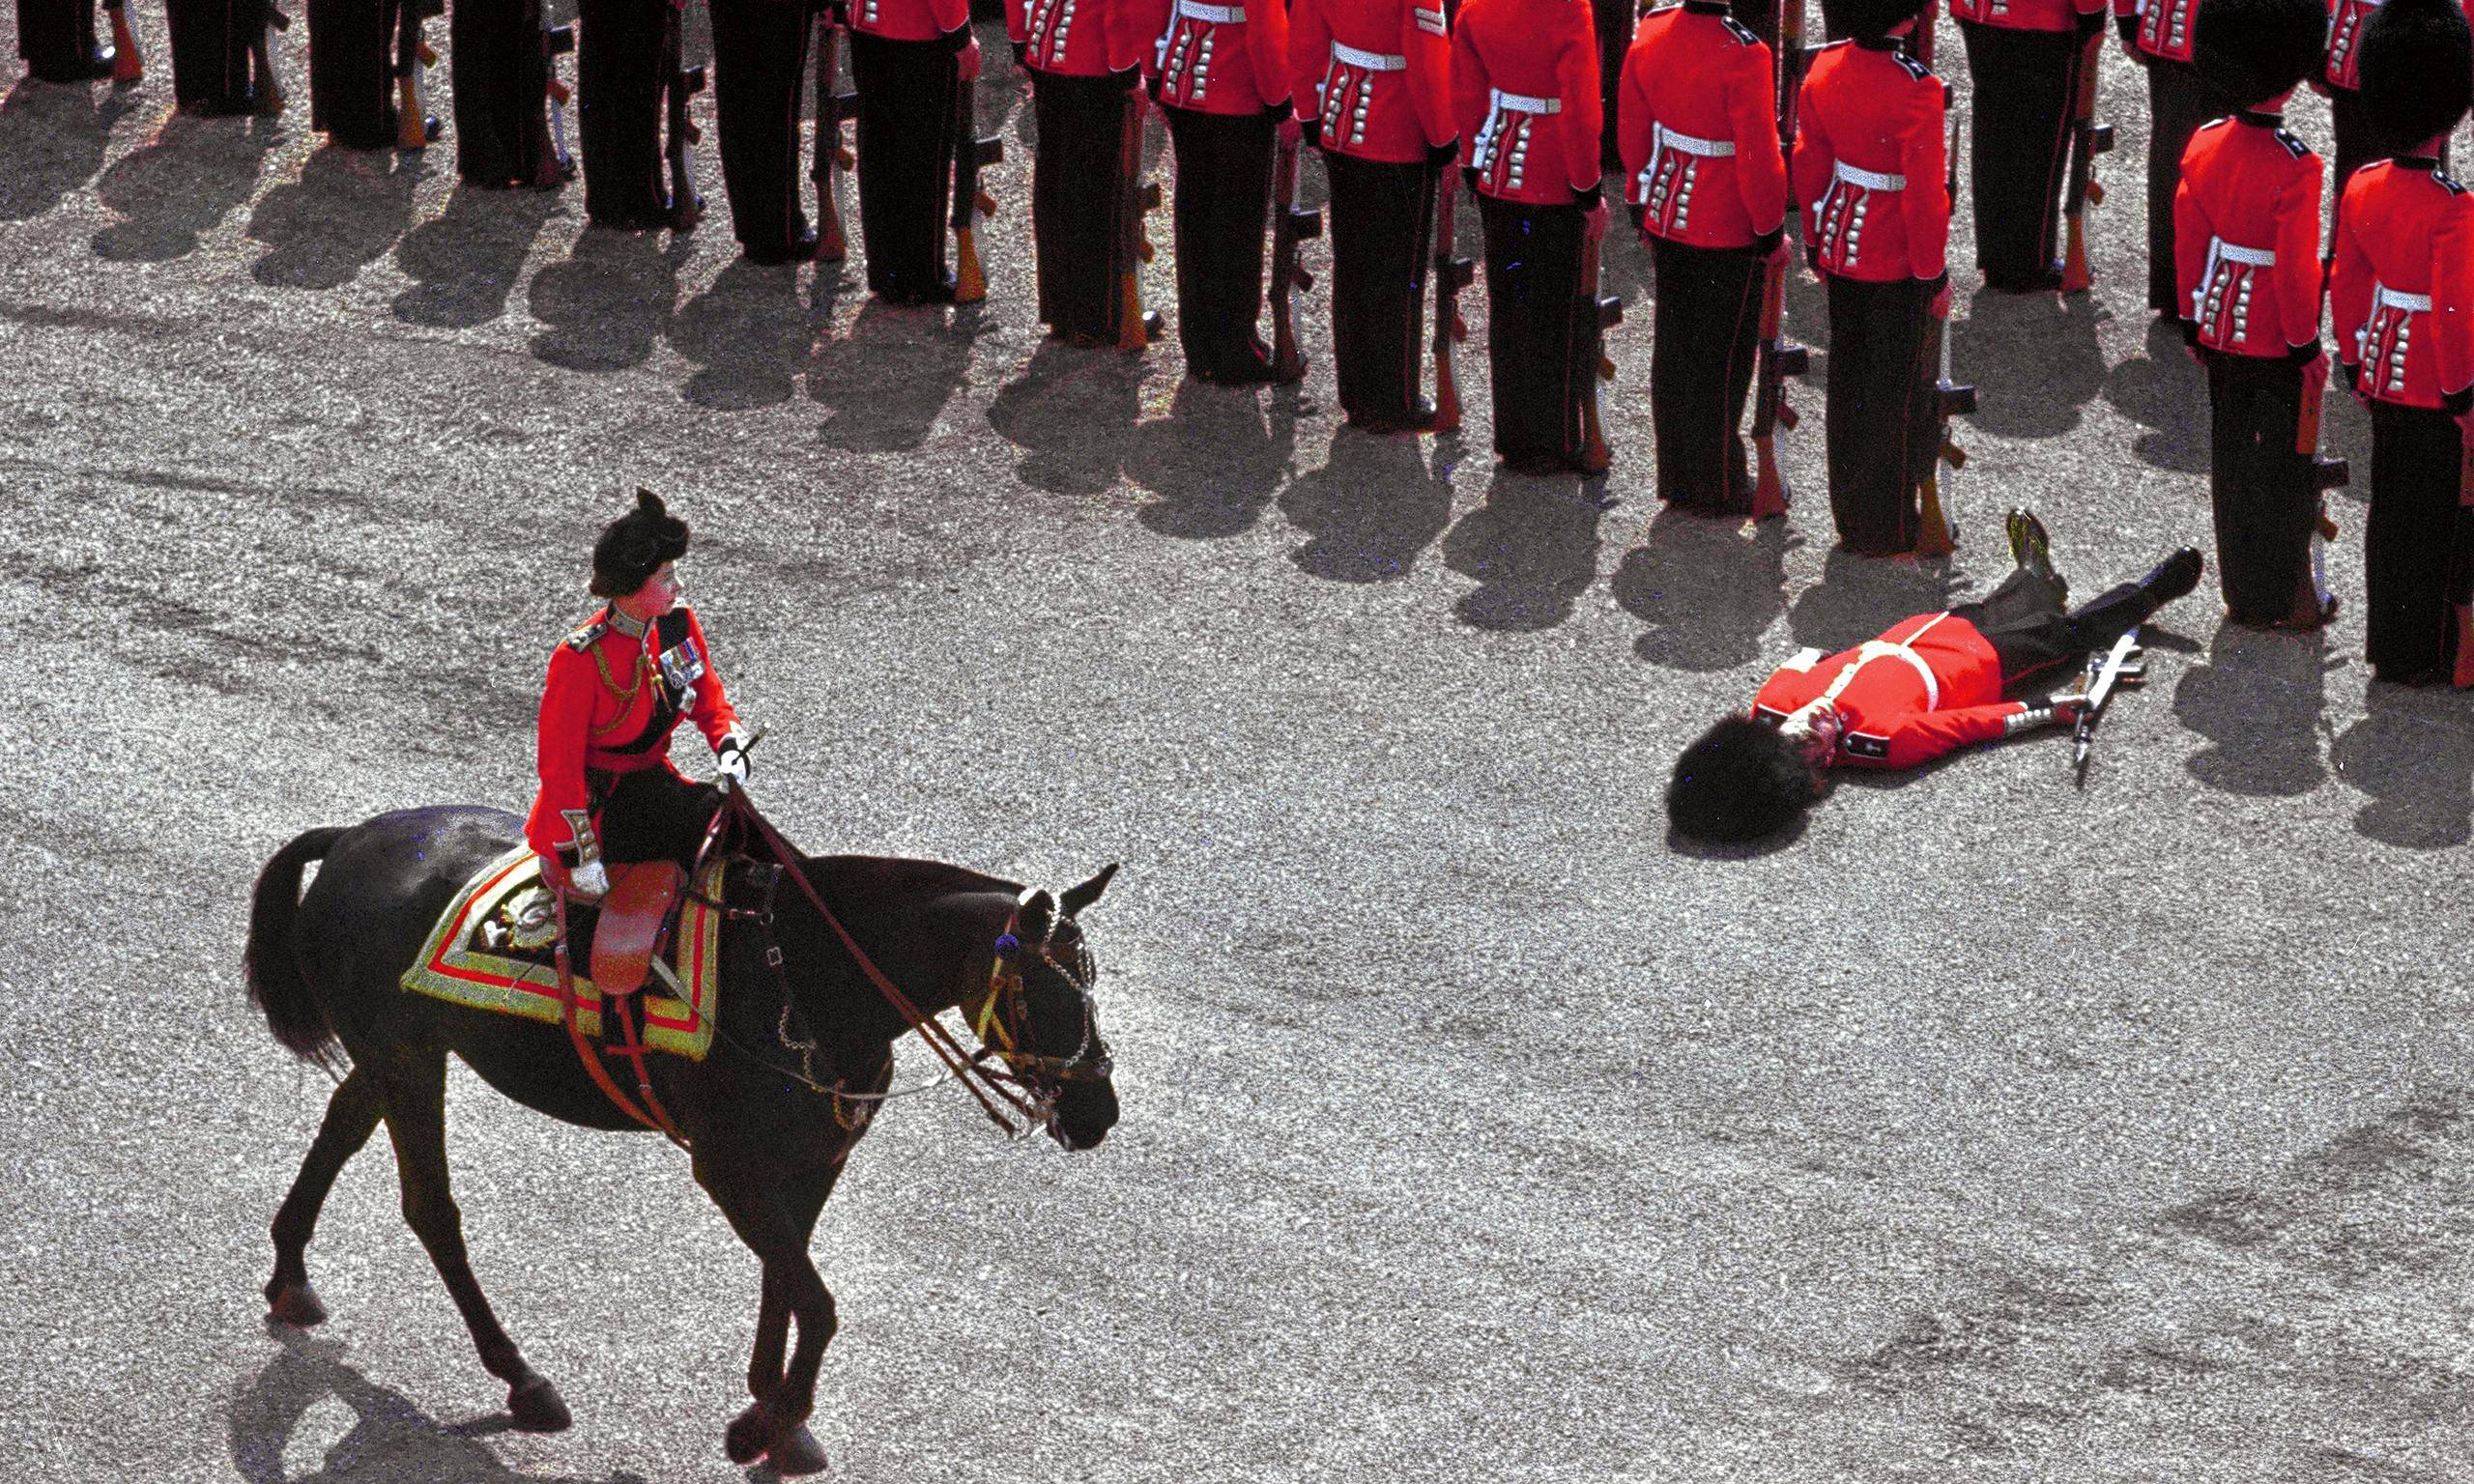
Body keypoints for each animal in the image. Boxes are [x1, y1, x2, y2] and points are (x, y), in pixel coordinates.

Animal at [236, 806, 1128, 1473]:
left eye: (1091, 986)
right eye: (1049, 992)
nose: (1098, 1115)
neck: (807, 977)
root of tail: (350, 838)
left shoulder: (812, 1164)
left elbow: (787, 1281)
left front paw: (774, 1412)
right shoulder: (728, 1169)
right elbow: (817, 1301)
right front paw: (766, 1422)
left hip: (396, 1057)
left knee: (343, 1126)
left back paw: (291, 1273)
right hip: (410, 1062)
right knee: (432, 1209)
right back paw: (520, 1377)